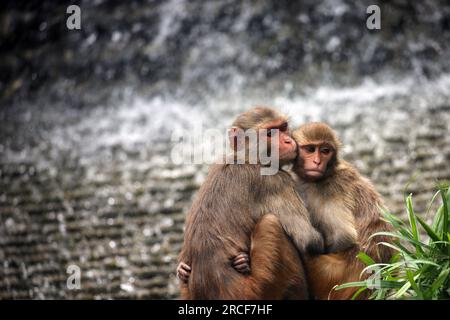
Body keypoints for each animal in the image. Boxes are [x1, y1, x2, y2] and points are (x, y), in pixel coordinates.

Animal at [178, 107, 326, 300]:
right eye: (270, 133)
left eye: (283, 127)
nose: (288, 140)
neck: (248, 158)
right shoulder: (276, 182)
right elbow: (310, 241)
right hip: (261, 287)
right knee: (271, 224)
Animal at [292, 122, 394, 300]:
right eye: (311, 149)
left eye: (325, 151)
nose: (317, 162)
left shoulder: (330, 189)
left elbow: (344, 235)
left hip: (333, 276)